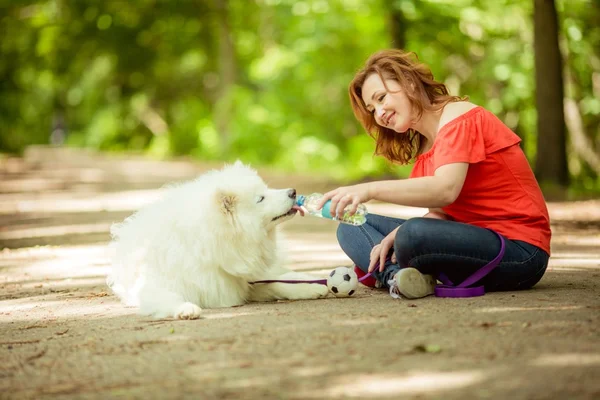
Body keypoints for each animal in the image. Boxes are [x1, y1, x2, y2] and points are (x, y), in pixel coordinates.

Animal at [105, 161, 326, 320]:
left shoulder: (241, 281)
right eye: (260, 198)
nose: (293, 192)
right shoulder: (154, 287)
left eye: (266, 189)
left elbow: (279, 284)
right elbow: (169, 298)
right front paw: (186, 309)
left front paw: (310, 288)